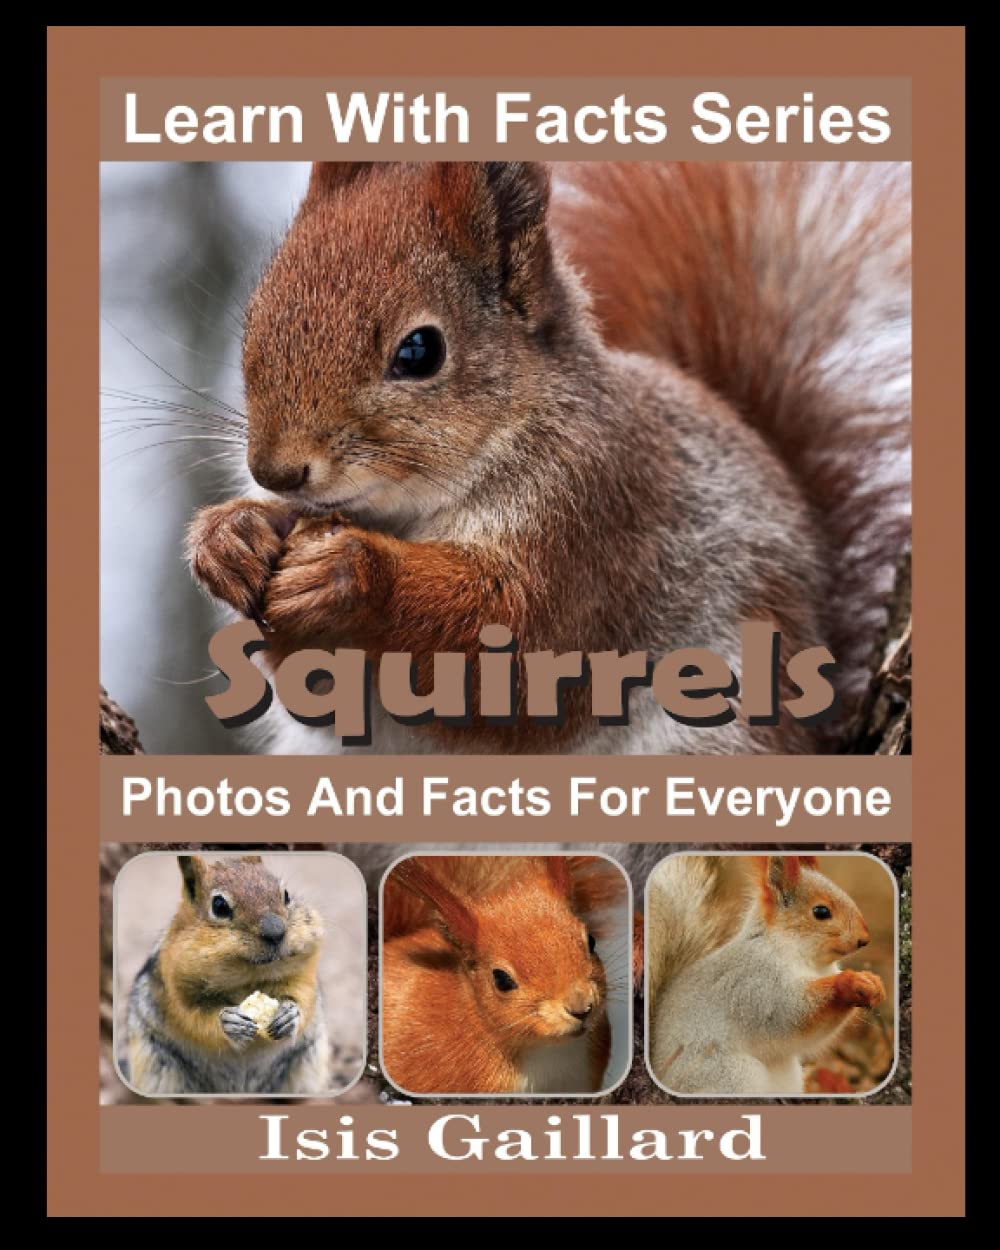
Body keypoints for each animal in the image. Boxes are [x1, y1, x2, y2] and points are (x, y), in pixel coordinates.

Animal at [123, 855, 331, 1095]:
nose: (276, 931)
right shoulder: (174, 988)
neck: (249, 977)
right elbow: (191, 1018)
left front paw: (289, 1013)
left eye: (286, 895)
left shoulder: (303, 974)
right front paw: (228, 1021)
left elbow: (303, 996)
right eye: (219, 906)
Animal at [187, 160, 911, 754]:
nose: (276, 471)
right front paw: (232, 537)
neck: (408, 512)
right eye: (256, 317)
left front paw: (349, 572)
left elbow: (519, 655)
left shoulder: (597, 517)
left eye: (420, 351)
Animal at [647, 854, 886, 1096]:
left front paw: (873, 983)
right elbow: (792, 1014)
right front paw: (847, 983)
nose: (864, 939)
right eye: (821, 912)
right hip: (733, 1074)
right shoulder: (757, 985)